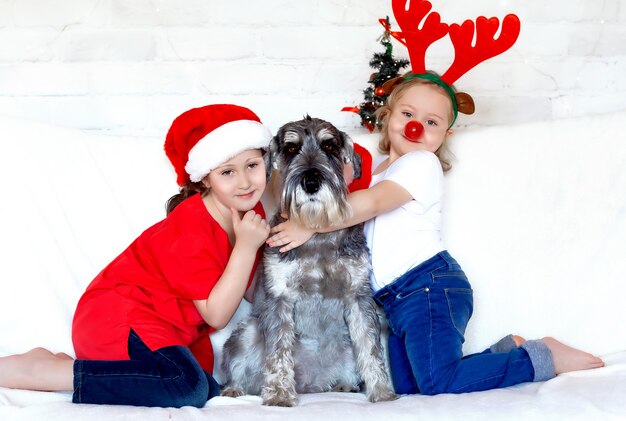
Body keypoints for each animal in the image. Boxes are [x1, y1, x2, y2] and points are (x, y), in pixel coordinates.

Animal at [219, 116, 392, 406]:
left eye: (329, 145)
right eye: (291, 148)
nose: (311, 182)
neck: (315, 233)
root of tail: (309, 386)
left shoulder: (358, 296)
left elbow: (371, 348)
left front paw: (382, 392)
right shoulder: (280, 297)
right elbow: (278, 350)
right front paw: (279, 394)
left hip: (346, 344)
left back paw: (345, 385)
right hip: (247, 331)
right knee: (238, 367)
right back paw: (234, 389)